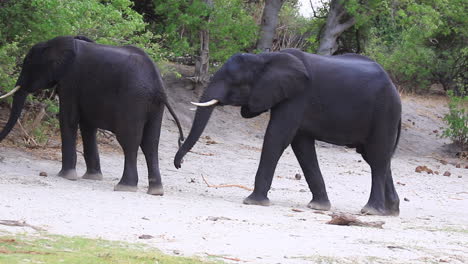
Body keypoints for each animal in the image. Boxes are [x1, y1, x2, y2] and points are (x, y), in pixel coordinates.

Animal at [0, 36, 183, 195]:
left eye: (29, 64)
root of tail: (158, 85)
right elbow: (87, 126)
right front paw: (92, 177)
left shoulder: (70, 81)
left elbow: (68, 119)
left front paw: (66, 176)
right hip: (154, 106)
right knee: (150, 143)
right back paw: (156, 191)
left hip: (133, 99)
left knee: (129, 141)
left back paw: (125, 187)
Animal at [176, 48, 402, 216]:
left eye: (235, 83)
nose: (179, 164)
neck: (264, 58)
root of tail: (394, 88)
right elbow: (301, 147)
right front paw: (319, 207)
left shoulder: (297, 96)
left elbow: (277, 137)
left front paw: (253, 202)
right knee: (376, 158)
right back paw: (391, 211)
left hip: (385, 111)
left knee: (377, 157)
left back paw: (371, 211)